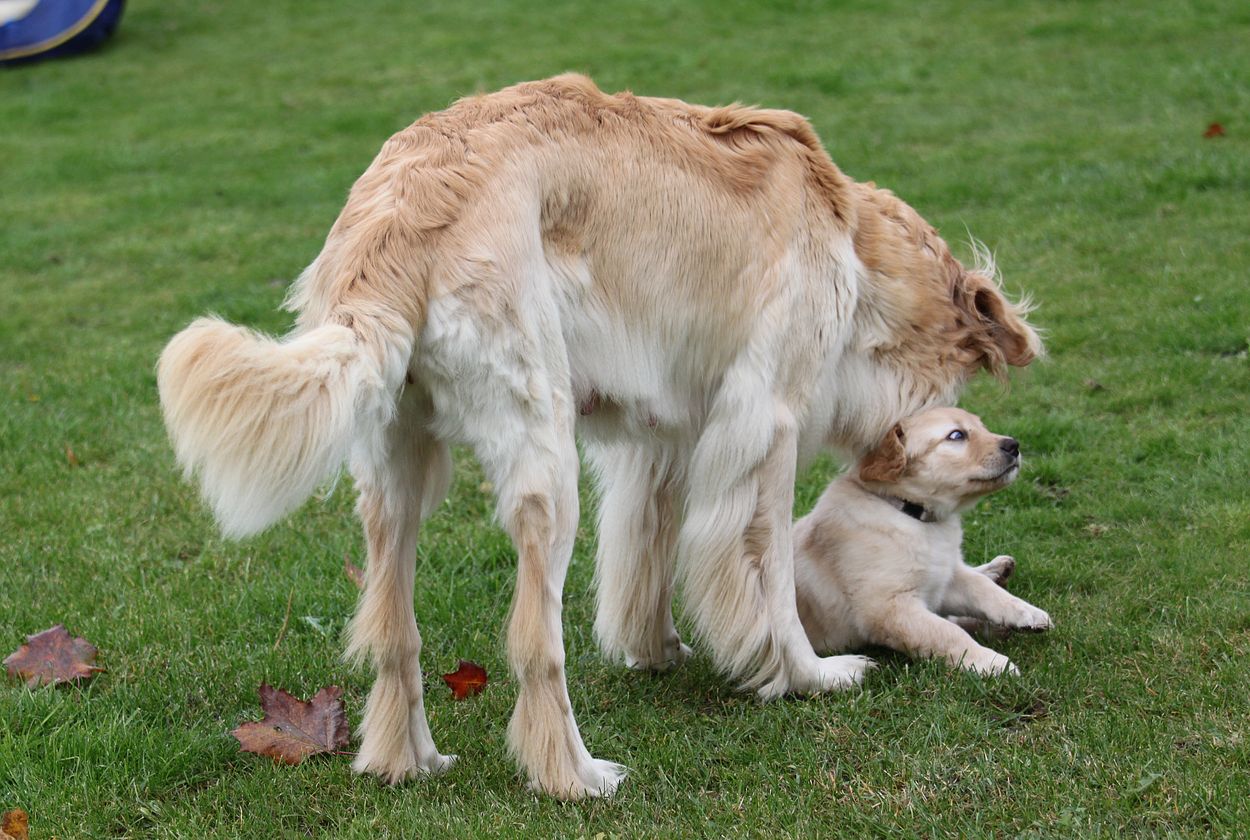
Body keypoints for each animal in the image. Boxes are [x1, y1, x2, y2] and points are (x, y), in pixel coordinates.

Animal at [794, 407, 1052, 675]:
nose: (1014, 445)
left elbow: (982, 589)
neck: (915, 518)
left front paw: (1025, 611)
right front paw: (994, 663)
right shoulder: (889, 607)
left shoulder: (943, 581)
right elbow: (946, 633)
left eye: (983, 428)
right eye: (956, 435)